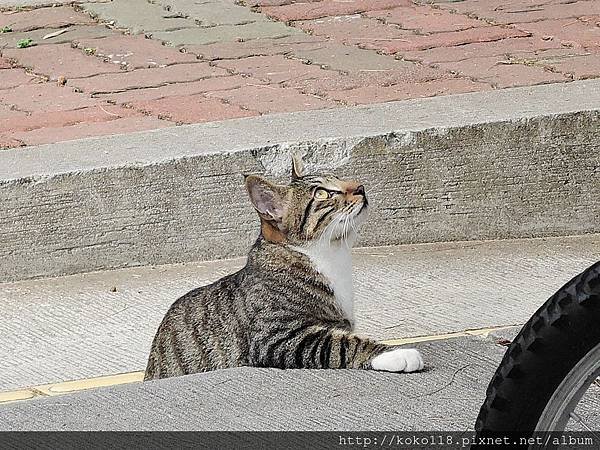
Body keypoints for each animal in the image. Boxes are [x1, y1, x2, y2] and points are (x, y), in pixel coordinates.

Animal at [145, 155, 424, 380]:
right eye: (322, 194)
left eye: (339, 178)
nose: (360, 187)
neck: (329, 257)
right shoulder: (277, 337)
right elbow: (341, 343)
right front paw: (393, 354)